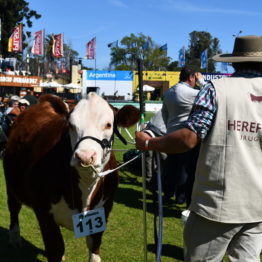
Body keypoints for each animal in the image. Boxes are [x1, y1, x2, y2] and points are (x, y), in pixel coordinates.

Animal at [3, 93, 140, 260]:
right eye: (71, 125)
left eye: (108, 124)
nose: (85, 156)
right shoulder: (44, 212)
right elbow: (55, 248)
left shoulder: (104, 209)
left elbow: (94, 247)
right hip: (11, 184)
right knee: (14, 208)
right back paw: (15, 238)